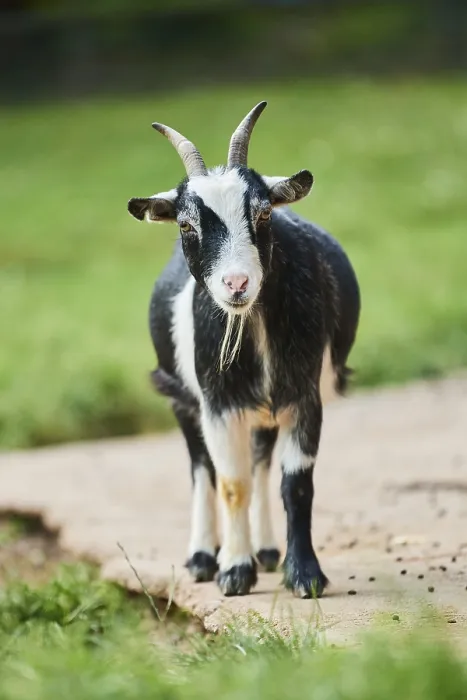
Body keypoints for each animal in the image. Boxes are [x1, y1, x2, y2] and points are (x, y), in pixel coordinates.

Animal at [128, 102, 360, 598]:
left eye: (265, 214)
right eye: (186, 223)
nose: (237, 283)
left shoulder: (303, 395)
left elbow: (296, 483)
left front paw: (305, 575)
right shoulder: (217, 404)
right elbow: (231, 483)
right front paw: (233, 571)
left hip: (265, 409)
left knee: (261, 464)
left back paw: (268, 550)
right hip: (183, 400)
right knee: (202, 469)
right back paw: (202, 557)